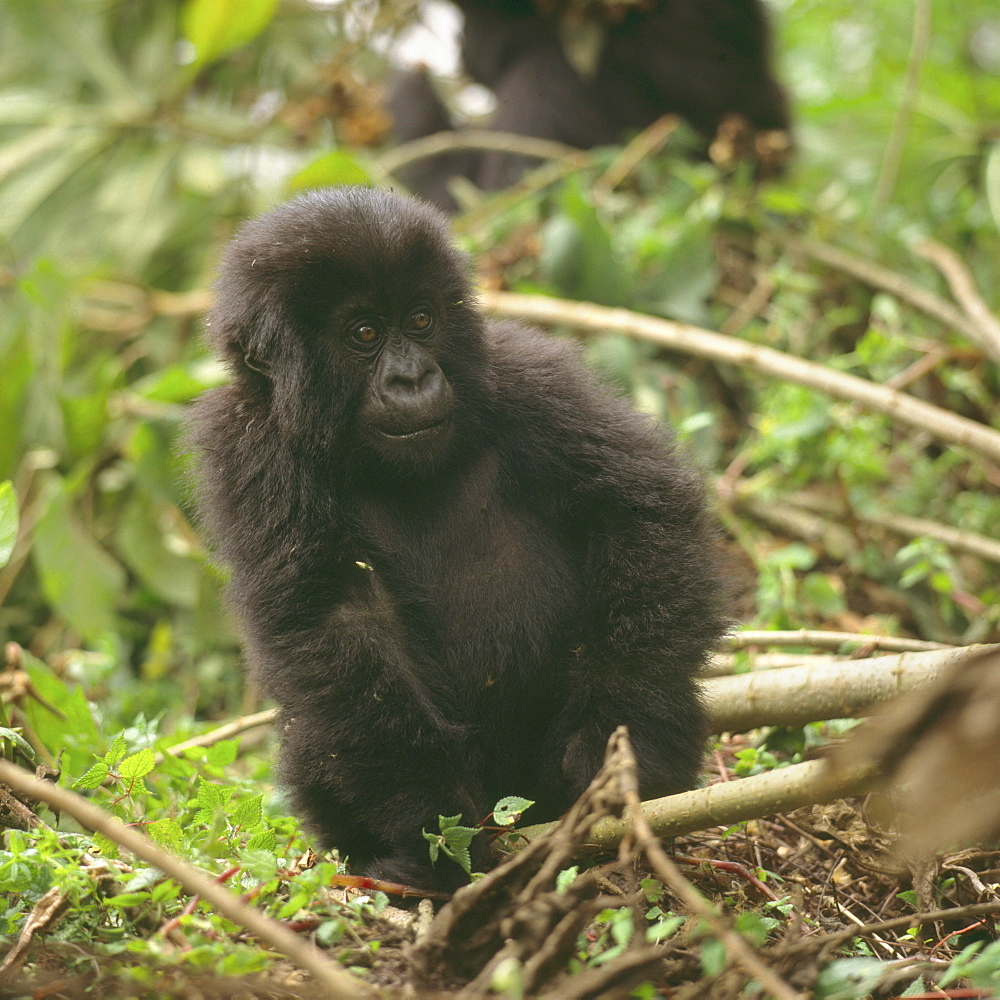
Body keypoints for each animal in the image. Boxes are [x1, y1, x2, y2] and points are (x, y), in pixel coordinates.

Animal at [189, 189, 728, 892]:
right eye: (364, 334)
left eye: (420, 320)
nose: (413, 379)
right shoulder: (248, 446)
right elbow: (334, 616)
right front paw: (432, 827)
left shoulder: (527, 376)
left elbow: (636, 510)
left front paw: (617, 744)